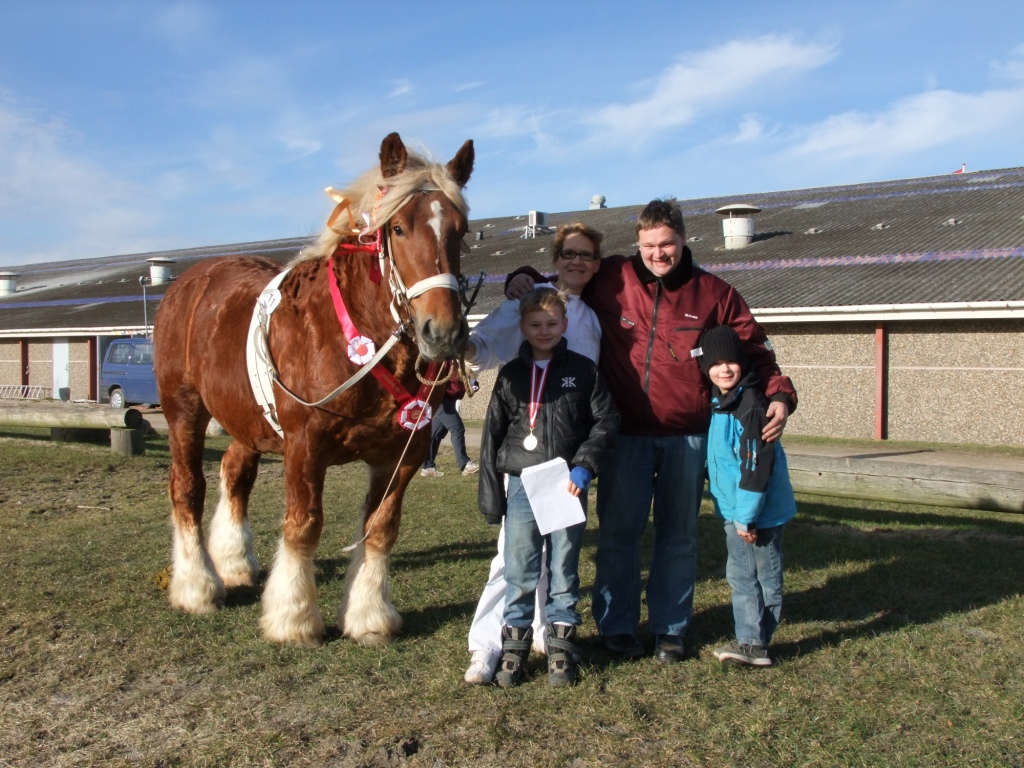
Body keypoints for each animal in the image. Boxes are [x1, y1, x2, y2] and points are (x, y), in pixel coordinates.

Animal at [153, 134, 473, 651]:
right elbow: (303, 526)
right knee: (187, 487)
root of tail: (191, 281)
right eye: (398, 228)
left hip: (247, 422)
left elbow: (380, 529)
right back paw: (197, 586)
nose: (442, 332)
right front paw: (294, 618)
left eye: (460, 231)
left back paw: (235, 563)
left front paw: (367, 616)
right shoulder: (305, 447)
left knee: (234, 474)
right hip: (185, 412)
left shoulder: (402, 454)